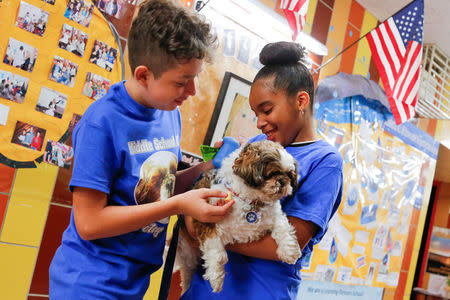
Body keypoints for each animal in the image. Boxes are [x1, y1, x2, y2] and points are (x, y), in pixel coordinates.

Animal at [176, 141, 302, 292]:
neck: (252, 201)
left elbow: (284, 229)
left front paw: (289, 252)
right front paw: (216, 279)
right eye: (273, 173)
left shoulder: (275, 216)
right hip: (187, 254)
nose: (283, 181)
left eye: (289, 175)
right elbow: (218, 254)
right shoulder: (207, 223)